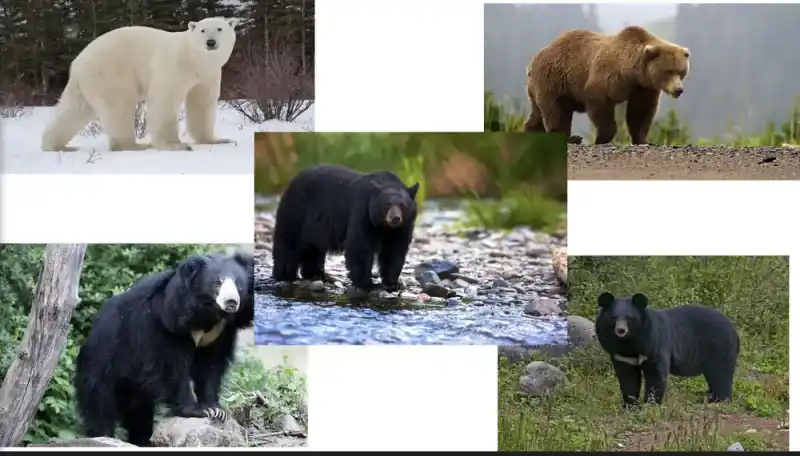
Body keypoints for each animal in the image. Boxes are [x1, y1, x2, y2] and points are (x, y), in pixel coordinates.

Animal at [41, 17, 240, 152]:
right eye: (203, 30)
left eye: (220, 28)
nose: (211, 42)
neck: (195, 60)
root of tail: (77, 63)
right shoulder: (173, 65)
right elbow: (164, 98)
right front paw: (175, 145)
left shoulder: (208, 75)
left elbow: (201, 102)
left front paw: (217, 140)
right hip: (110, 71)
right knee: (119, 105)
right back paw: (135, 145)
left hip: (86, 82)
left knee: (74, 110)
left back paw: (56, 145)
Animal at [74, 252, 252, 447]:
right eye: (217, 283)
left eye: (238, 284)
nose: (231, 302)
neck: (206, 315)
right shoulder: (165, 326)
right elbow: (172, 367)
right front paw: (195, 410)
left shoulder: (219, 333)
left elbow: (211, 366)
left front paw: (215, 410)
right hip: (104, 362)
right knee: (101, 405)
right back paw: (104, 435)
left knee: (140, 412)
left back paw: (142, 440)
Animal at [272, 163, 419, 292]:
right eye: (386, 205)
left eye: (402, 206)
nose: (395, 218)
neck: (383, 226)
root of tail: (292, 181)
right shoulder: (362, 213)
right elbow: (360, 246)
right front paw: (368, 284)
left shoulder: (402, 227)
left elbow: (395, 250)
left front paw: (393, 283)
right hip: (297, 211)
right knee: (289, 243)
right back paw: (285, 275)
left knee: (313, 249)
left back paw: (318, 275)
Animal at [524, 25, 690, 145]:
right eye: (668, 71)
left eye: (682, 71)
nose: (679, 89)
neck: (632, 74)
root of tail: (533, 61)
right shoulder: (607, 78)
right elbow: (600, 104)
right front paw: (602, 138)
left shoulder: (643, 88)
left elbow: (641, 112)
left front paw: (643, 140)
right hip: (554, 79)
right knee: (555, 111)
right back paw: (572, 138)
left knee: (537, 113)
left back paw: (530, 132)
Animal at [594, 292, 740, 408]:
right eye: (614, 317)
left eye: (630, 318)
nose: (620, 330)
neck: (629, 342)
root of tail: (733, 328)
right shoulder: (621, 355)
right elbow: (628, 378)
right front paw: (631, 405)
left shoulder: (653, 344)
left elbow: (656, 373)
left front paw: (651, 404)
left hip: (719, 346)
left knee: (720, 372)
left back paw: (718, 399)